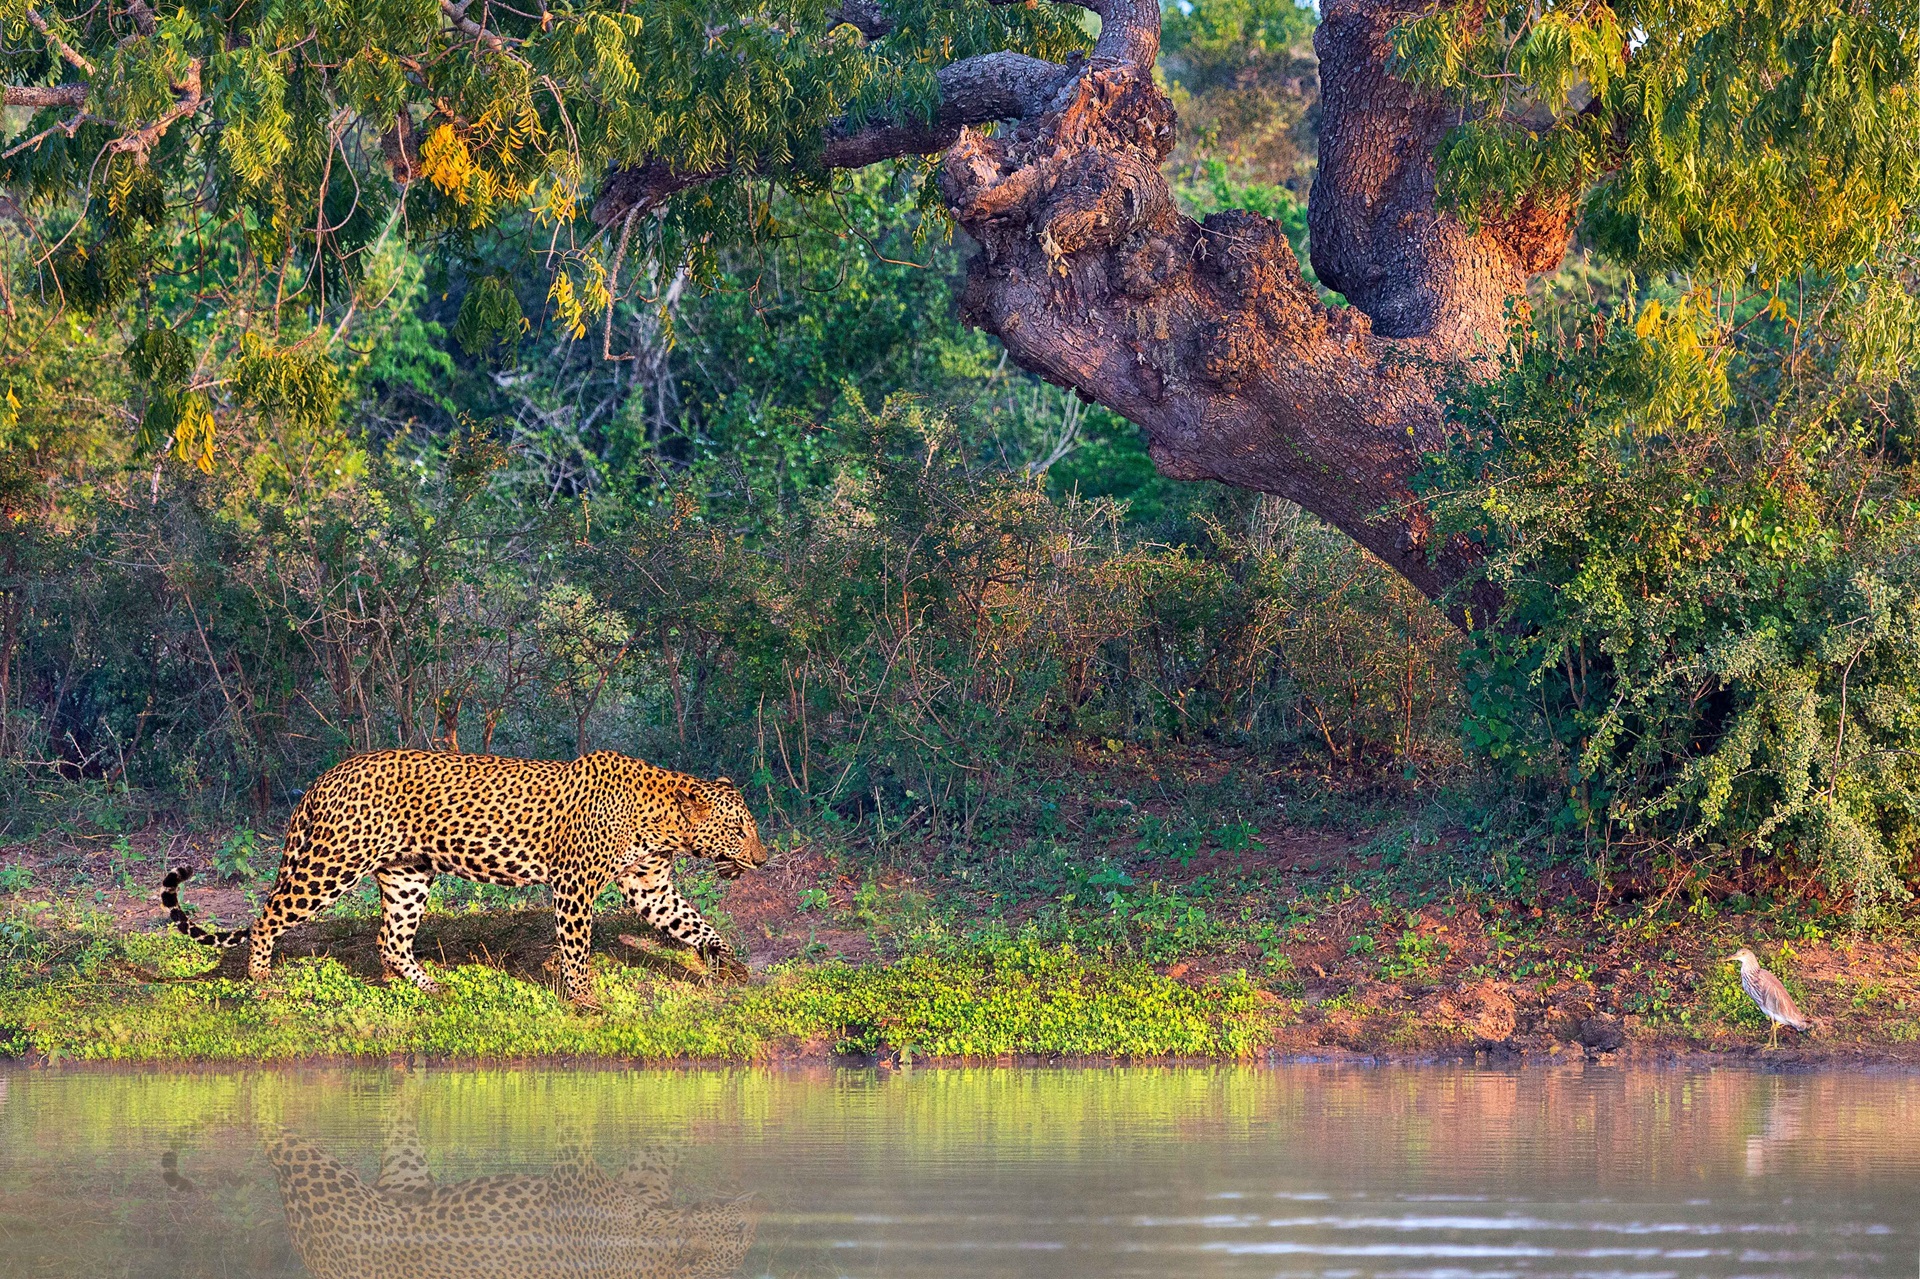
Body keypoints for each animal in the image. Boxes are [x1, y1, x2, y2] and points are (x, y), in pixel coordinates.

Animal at [159, 748, 766, 1006]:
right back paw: (261, 982)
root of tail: (324, 776)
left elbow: (694, 923)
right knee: (267, 917)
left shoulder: (649, 885)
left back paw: (431, 988)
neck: (662, 820)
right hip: (330, 865)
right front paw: (585, 1000)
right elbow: (576, 948)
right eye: (739, 830)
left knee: (390, 941)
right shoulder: (574, 883)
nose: (762, 860)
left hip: (406, 874)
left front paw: (730, 964)